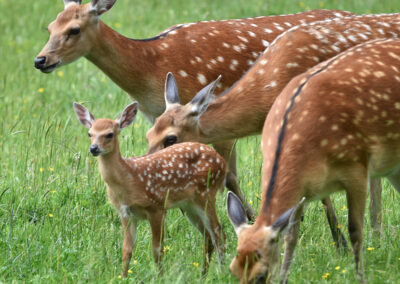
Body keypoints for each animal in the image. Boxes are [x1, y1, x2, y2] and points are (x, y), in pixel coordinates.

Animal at [73, 102, 227, 278]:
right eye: (89, 133)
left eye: (109, 134)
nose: (94, 148)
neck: (129, 180)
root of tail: (222, 161)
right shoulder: (126, 213)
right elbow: (126, 251)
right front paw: (123, 277)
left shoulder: (157, 206)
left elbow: (157, 250)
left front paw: (161, 277)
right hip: (189, 205)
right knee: (207, 236)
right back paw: (203, 275)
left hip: (207, 193)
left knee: (219, 232)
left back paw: (222, 272)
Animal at [227, 37, 400, 284]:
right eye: (233, 269)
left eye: (261, 275)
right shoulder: (303, 192)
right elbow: (290, 236)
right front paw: (284, 278)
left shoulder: (357, 167)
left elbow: (355, 231)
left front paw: (360, 277)